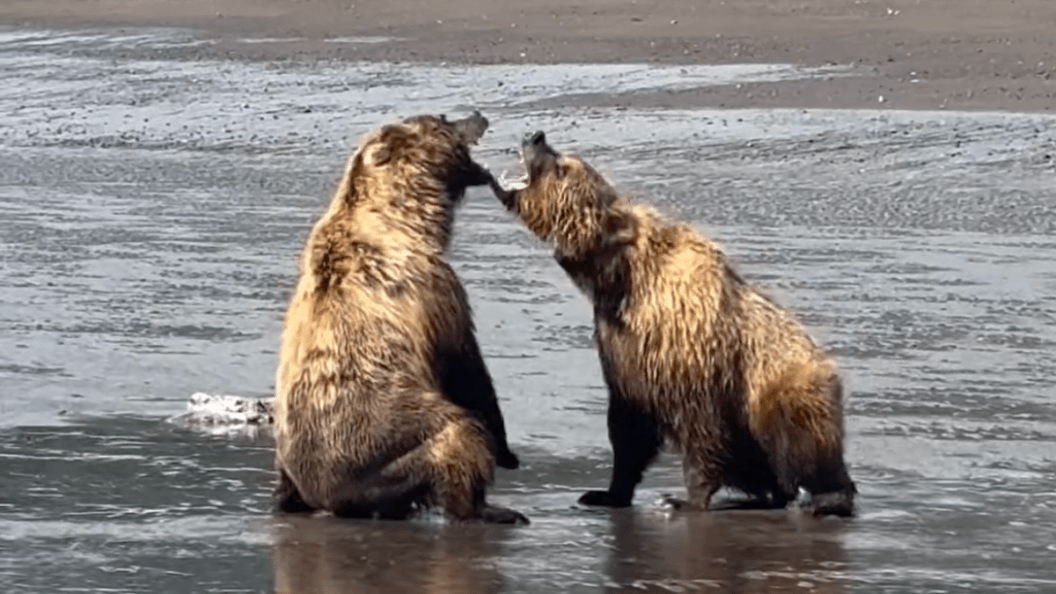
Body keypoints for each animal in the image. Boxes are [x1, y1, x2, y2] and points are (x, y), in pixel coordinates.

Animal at [273, 112, 527, 525]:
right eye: (443, 119)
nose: (478, 114)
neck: (407, 217)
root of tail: (327, 498)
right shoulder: (432, 286)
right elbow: (467, 366)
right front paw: (507, 452)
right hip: (393, 449)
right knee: (458, 436)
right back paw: (491, 509)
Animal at [490, 130, 856, 517]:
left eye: (563, 167)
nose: (535, 136)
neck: (619, 280)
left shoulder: (687, 351)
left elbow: (700, 429)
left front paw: (682, 500)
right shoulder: (622, 350)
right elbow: (629, 430)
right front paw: (607, 493)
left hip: (785, 388)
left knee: (800, 443)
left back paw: (823, 498)